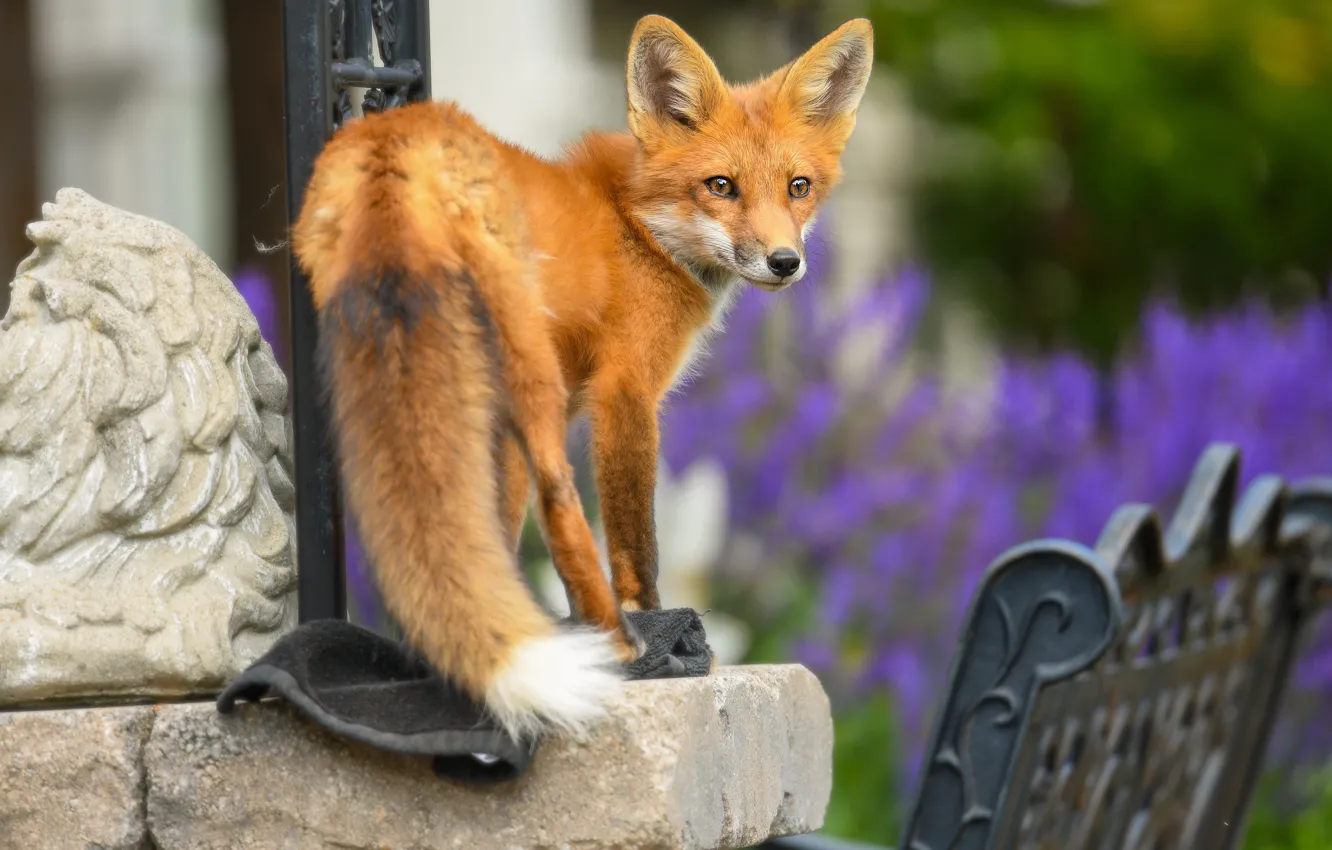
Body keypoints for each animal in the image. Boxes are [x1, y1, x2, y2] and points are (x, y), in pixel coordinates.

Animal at [291, 14, 874, 741]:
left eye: (799, 187)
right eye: (720, 185)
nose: (785, 262)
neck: (642, 229)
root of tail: (397, 136)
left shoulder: (538, 416)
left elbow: (496, 534)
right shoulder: (626, 391)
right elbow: (633, 545)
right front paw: (660, 640)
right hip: (528, 373)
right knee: (561, 502)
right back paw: (618, 643)